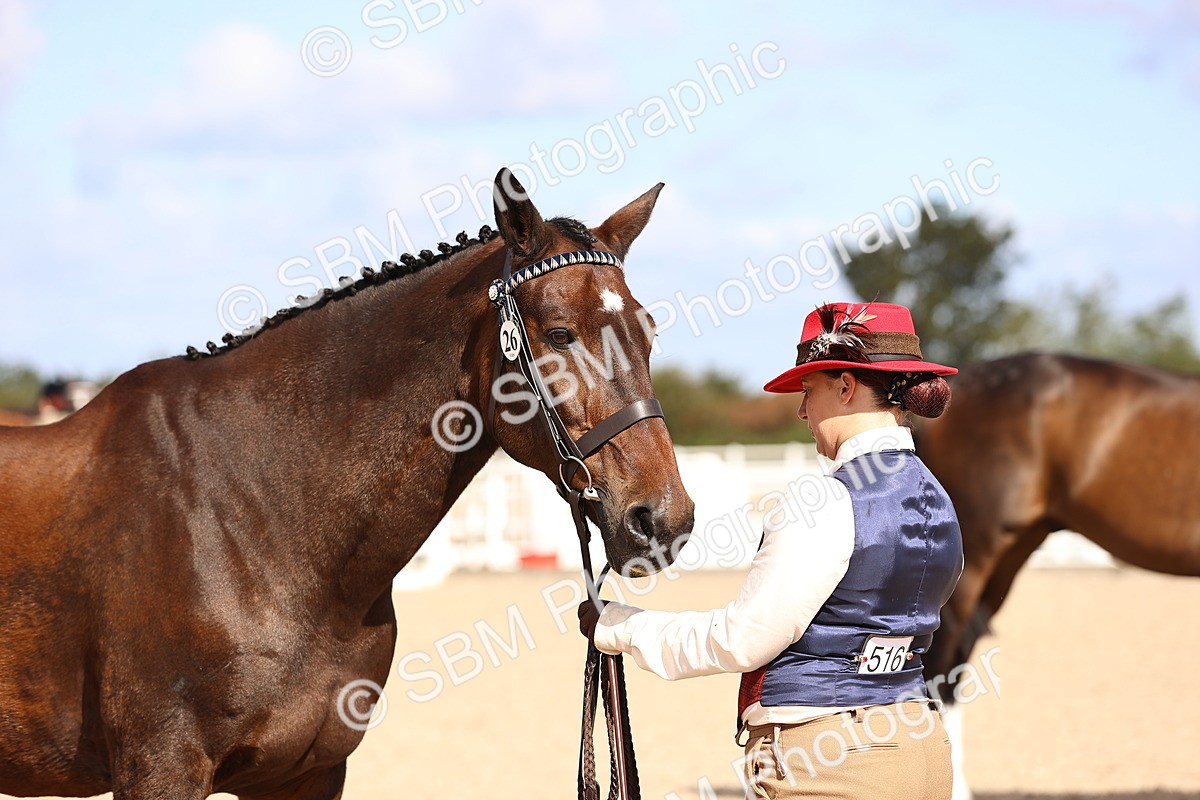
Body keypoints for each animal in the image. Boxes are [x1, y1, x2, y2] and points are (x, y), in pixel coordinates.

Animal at [0, 168, 695, 799]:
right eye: (558, 334)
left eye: (647, 331)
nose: (664, 519)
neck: (252, 511)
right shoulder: (161, 767)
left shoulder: (306, 773)